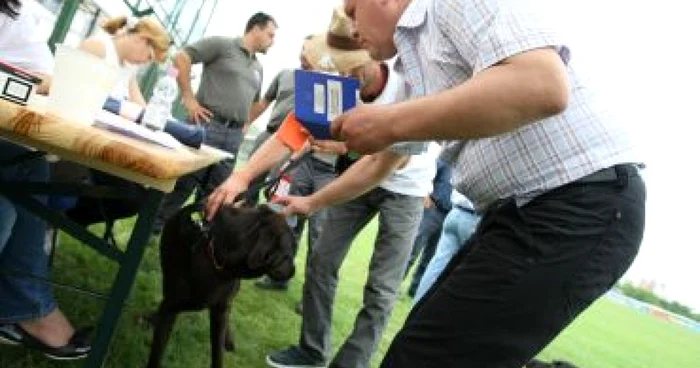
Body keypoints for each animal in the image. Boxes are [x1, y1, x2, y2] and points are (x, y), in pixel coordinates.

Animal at [145, 203, 296, 366]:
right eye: (289, 255)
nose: (294, 271)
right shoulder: (171, 306)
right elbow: (157, 352)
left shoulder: (220, 309)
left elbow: (218, 352)